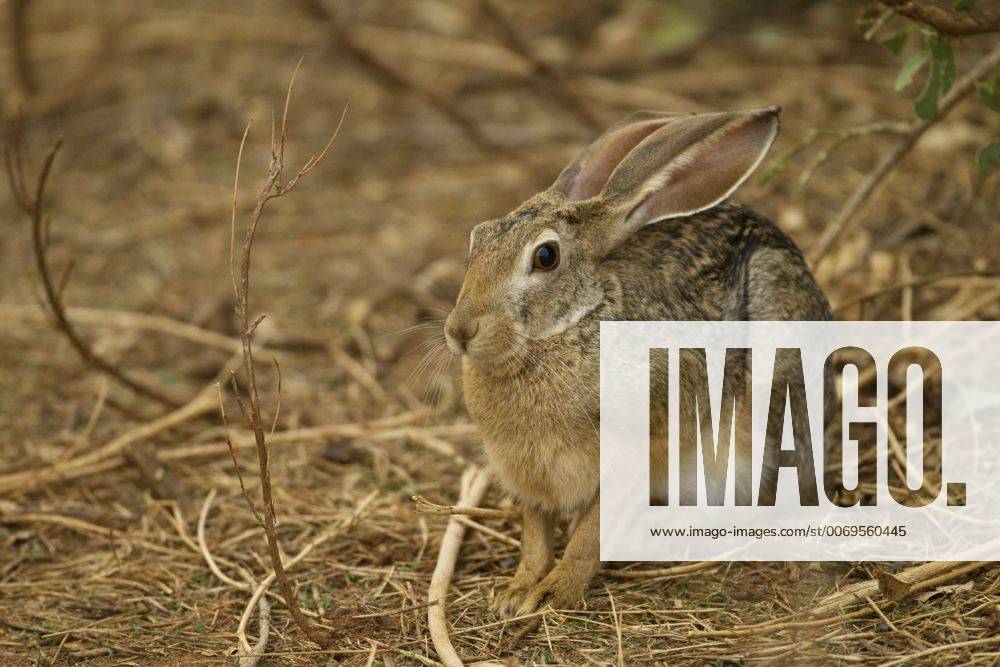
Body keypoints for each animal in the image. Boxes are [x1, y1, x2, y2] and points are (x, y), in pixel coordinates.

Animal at [443, 108, 833, 617]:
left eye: (545, 256)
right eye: (477, 239)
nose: (460, 331)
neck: (570, 325)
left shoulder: (638, 452)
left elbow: (590, 533)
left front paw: (557, 591)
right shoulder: (528, 478)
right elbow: (535, 536)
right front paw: (516, 594)